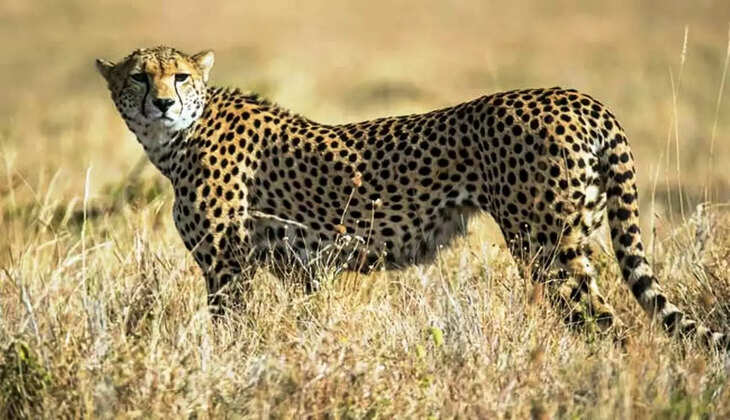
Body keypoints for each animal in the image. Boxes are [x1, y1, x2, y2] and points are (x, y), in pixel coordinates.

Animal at [96, 46, 727, 349]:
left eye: (179, 76)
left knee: (605, 322)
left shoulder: (227, 267)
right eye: (138, 76)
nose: (162, 102)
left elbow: (230, 331)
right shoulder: (297, 270)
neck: (177, 138)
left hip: (547, 246)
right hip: (579, 230)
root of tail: (577, 96)